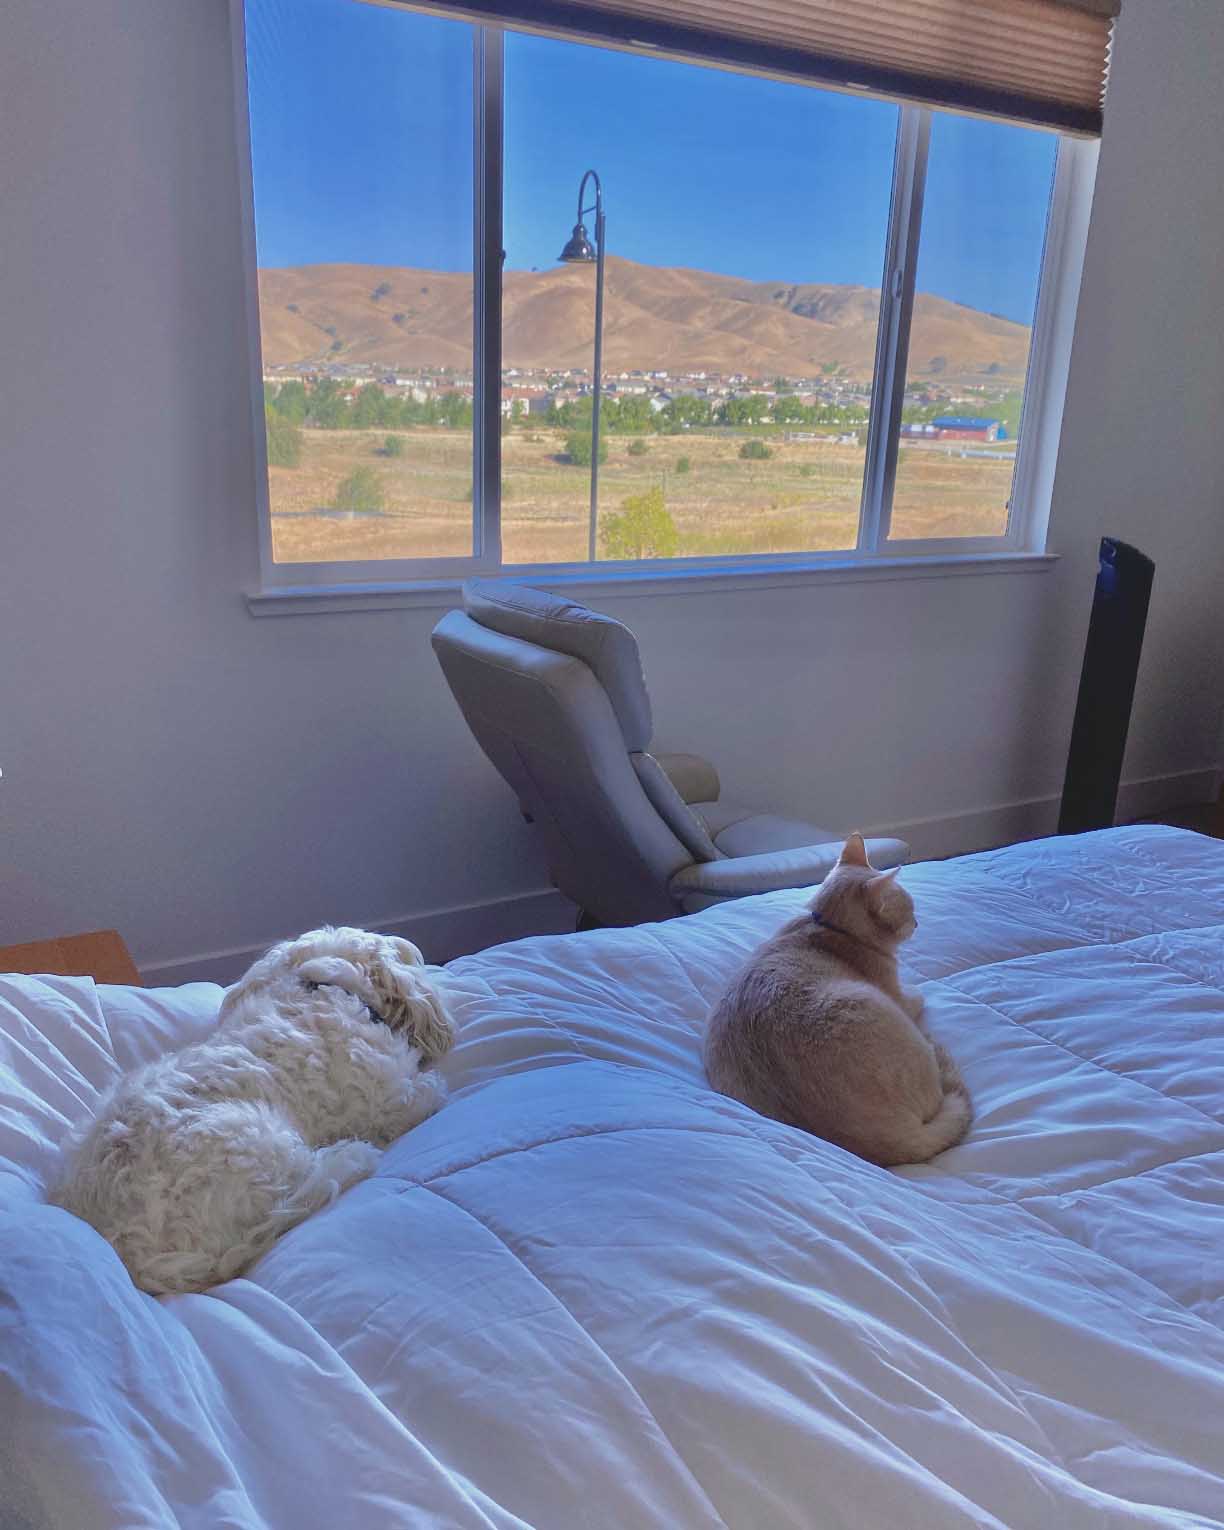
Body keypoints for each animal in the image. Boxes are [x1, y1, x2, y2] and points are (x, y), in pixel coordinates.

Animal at [50, 924, 455, 1297]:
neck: (320, 983)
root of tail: (130, 1253)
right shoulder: (392, 1101)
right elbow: (429, 1092)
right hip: (258, 1140)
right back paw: (347, 1159)